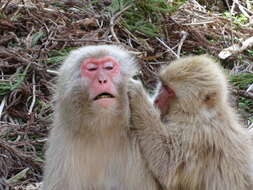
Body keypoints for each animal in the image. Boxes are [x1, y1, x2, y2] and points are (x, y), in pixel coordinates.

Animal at [128, 55, 253, 190]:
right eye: (163, 85)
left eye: (169, 91)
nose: (156, 100)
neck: (197, 114)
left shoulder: (196, 136)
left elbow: (167, 163)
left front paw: (137, 94)